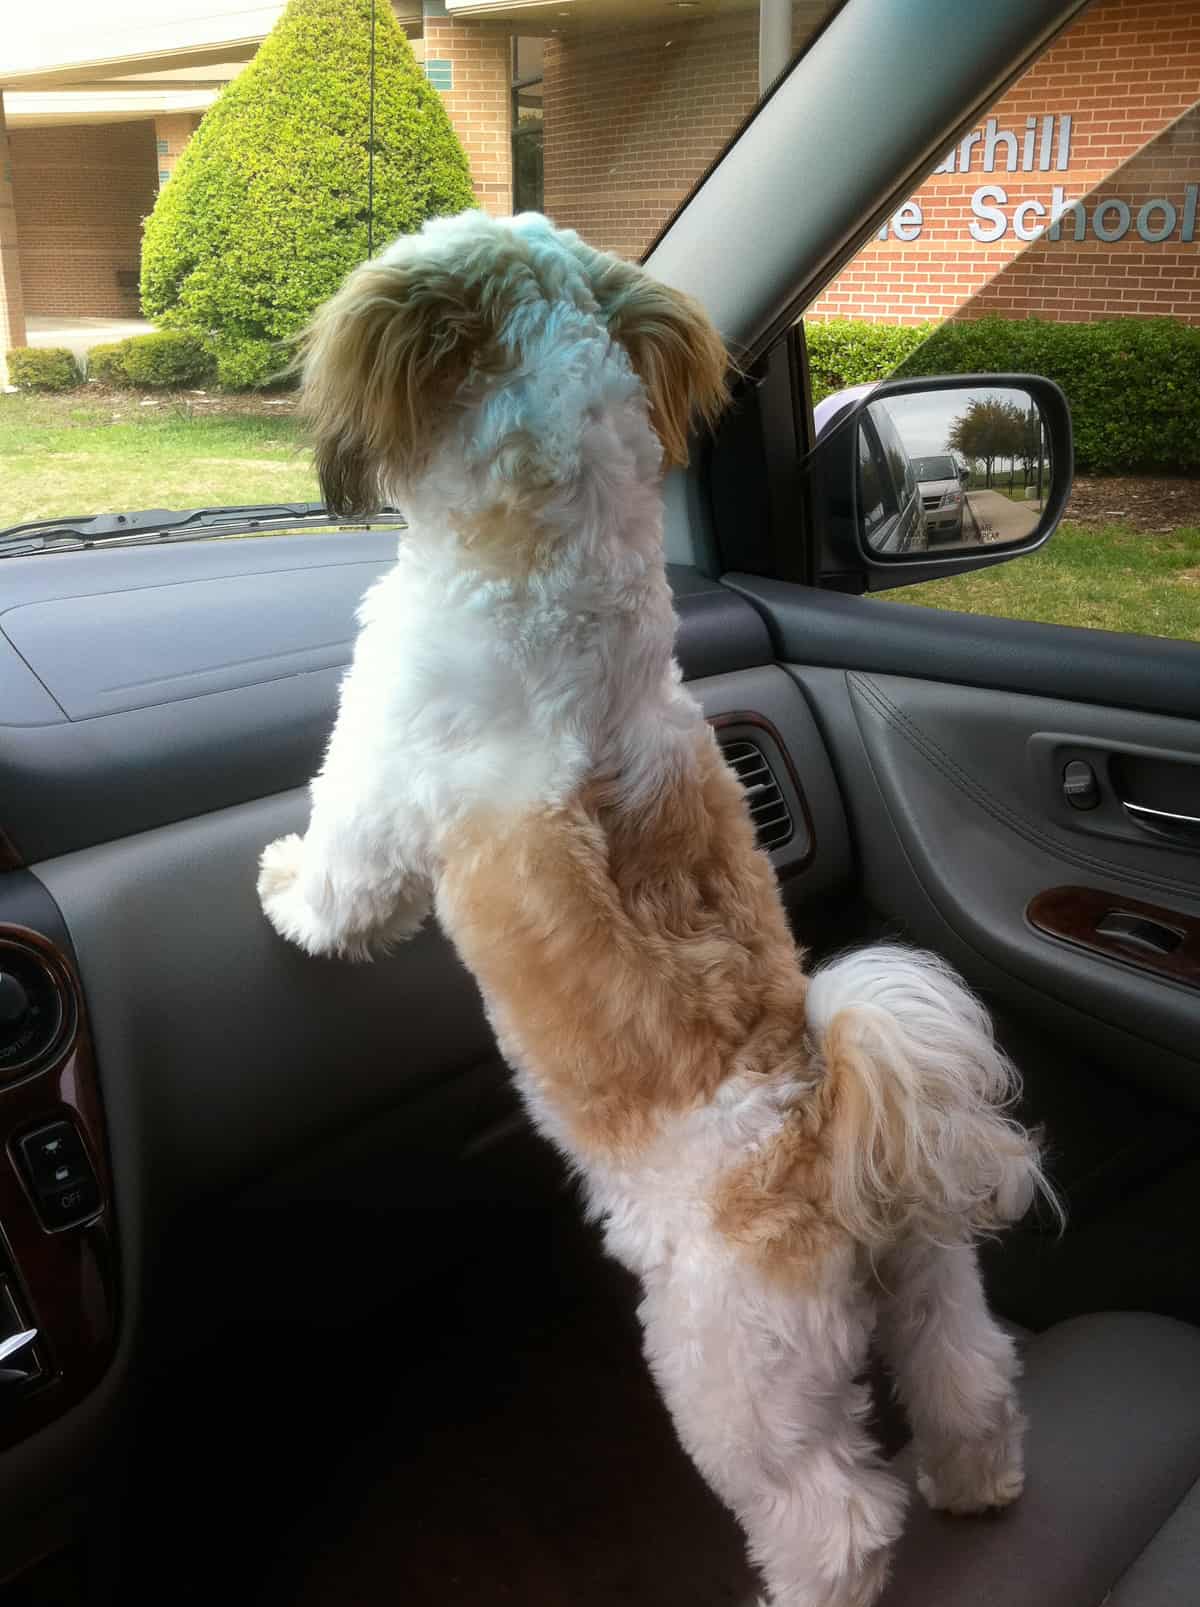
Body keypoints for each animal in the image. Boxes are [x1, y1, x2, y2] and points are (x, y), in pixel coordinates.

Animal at [258, 210, 1053, 1607]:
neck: (556, 573)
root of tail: (822, 1127)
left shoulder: (380, 765)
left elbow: (347, 875)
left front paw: (285, 886)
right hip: (931, 1274)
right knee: (970, 1379)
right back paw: (981, 1481)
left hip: (734, 1370)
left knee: (836, 1509)